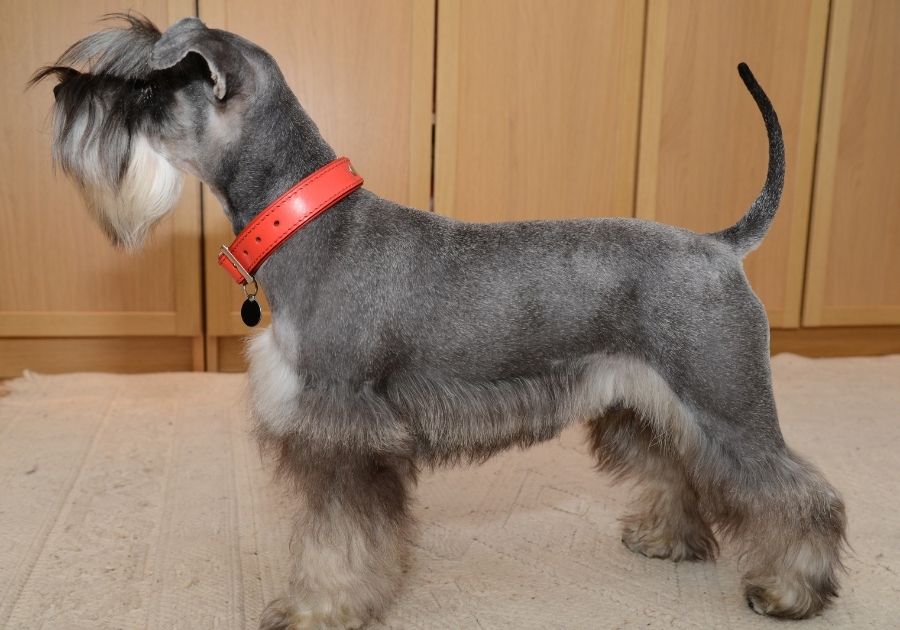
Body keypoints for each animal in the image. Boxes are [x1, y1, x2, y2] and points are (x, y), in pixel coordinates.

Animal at [33, 14, 844, 630]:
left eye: (144, 86)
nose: (63, 87)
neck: (307, 222)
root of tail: (722, 246)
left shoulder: (340, 431)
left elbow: (336, 540)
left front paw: (316, 610)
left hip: (726, 401)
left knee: (798, 494)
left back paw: (791, 590)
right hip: (645, 406)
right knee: (682, 469)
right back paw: (669, 540)